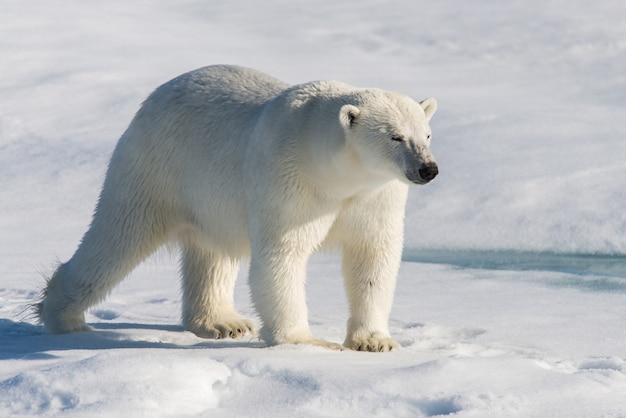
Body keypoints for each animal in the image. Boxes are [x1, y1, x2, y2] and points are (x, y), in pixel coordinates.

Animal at [36, 64, 436, 352]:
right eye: (395, 136)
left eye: (427, 134)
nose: (427, 169)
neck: (335, 175)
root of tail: (157, 94)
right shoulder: (290, 183)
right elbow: (281, 256)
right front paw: (306, 342)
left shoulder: (376, 196)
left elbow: (373, 256)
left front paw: (374, 342)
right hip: (156, 169)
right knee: (117, 236)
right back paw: (62, 315)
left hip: (210, 201)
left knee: (213, 254)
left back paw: (223, 322)